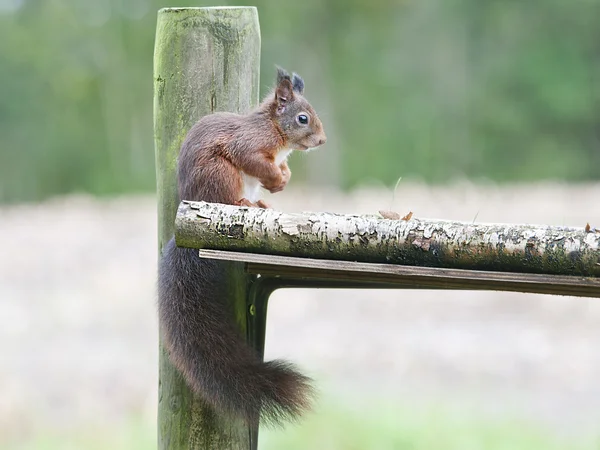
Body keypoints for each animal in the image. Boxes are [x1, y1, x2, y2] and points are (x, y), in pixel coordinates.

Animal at [157, 66, 326, 426]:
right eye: (302, 118)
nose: (322, 140)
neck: (275, 130)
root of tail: (190, 202)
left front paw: (283, 178)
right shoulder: (248, 145)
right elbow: (256, 161)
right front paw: (275, 178)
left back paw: (261, 201)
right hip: (221, 173)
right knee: (228, 196)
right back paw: (246, 202)